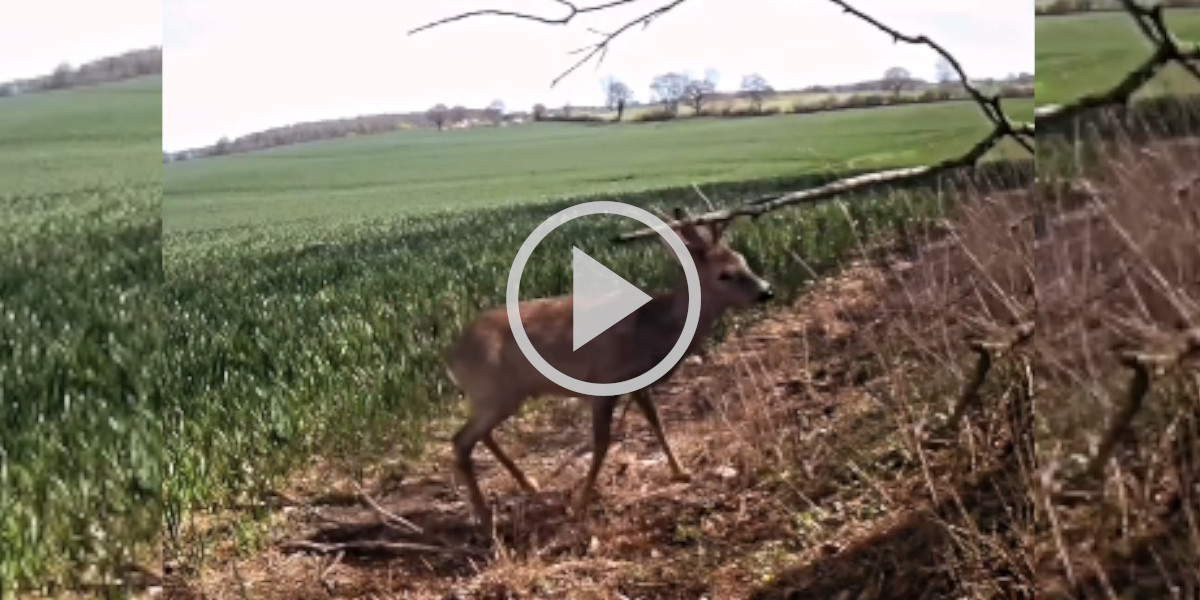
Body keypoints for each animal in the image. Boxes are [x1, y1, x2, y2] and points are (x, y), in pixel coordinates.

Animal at [446, 213, 772, 532]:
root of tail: (452, 355)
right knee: (461, 440)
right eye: (724, 274)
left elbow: (657, 423)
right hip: (495, 392)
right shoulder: (605, 380)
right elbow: (602, 443)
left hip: (500, 396)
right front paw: (580, 505)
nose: (766, 291)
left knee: (480, 435)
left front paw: (681, 471)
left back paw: (529, 485)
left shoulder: (638, 383)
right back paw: (485, 516)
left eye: (743, 259)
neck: (652, 327)